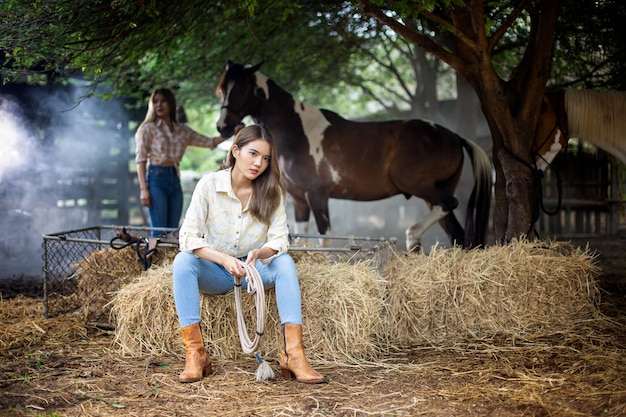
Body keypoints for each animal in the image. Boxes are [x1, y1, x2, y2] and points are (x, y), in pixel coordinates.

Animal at [217, 61, 490, 250]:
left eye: (240, 87)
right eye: (222, 90)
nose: (223, 126)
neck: (298, 133)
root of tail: (453, 136)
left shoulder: (317, 196)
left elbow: (324, 239)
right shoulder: (299, 200)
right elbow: (300, 235)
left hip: (419, 186)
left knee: (448, 206)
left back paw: (412, 236)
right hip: (433, 192)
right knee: (456, 233)